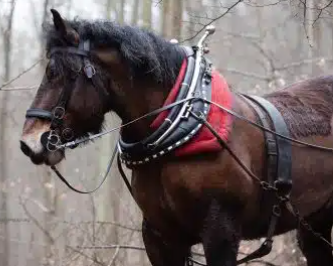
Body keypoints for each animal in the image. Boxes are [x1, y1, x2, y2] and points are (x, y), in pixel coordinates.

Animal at [18, 8, 333, 266]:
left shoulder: (221, 233)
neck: (182, 132)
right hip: (314, 226)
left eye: (57, 73)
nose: (29, 142)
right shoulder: (160, 236)